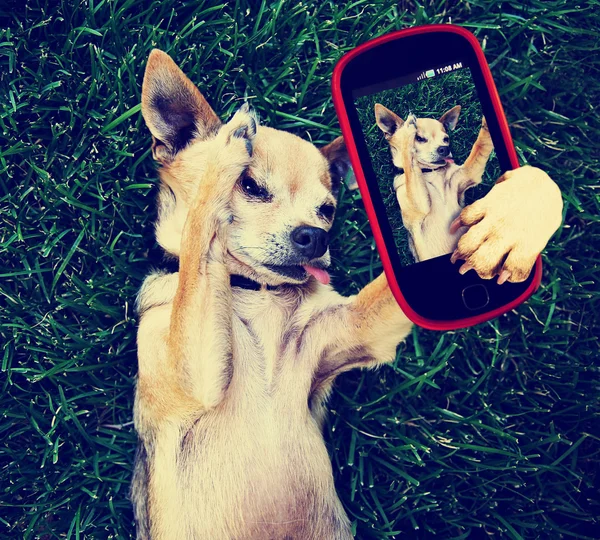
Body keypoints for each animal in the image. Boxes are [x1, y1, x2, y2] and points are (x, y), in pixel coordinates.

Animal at [378, 103, 494, 266]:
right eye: (419, 138)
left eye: (446, 139)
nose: (445, 149)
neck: (429, 172)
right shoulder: (418, 207)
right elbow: (410, 166)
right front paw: (407, 132)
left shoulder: (469, 173)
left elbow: (480, 145)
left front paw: (486, 124)